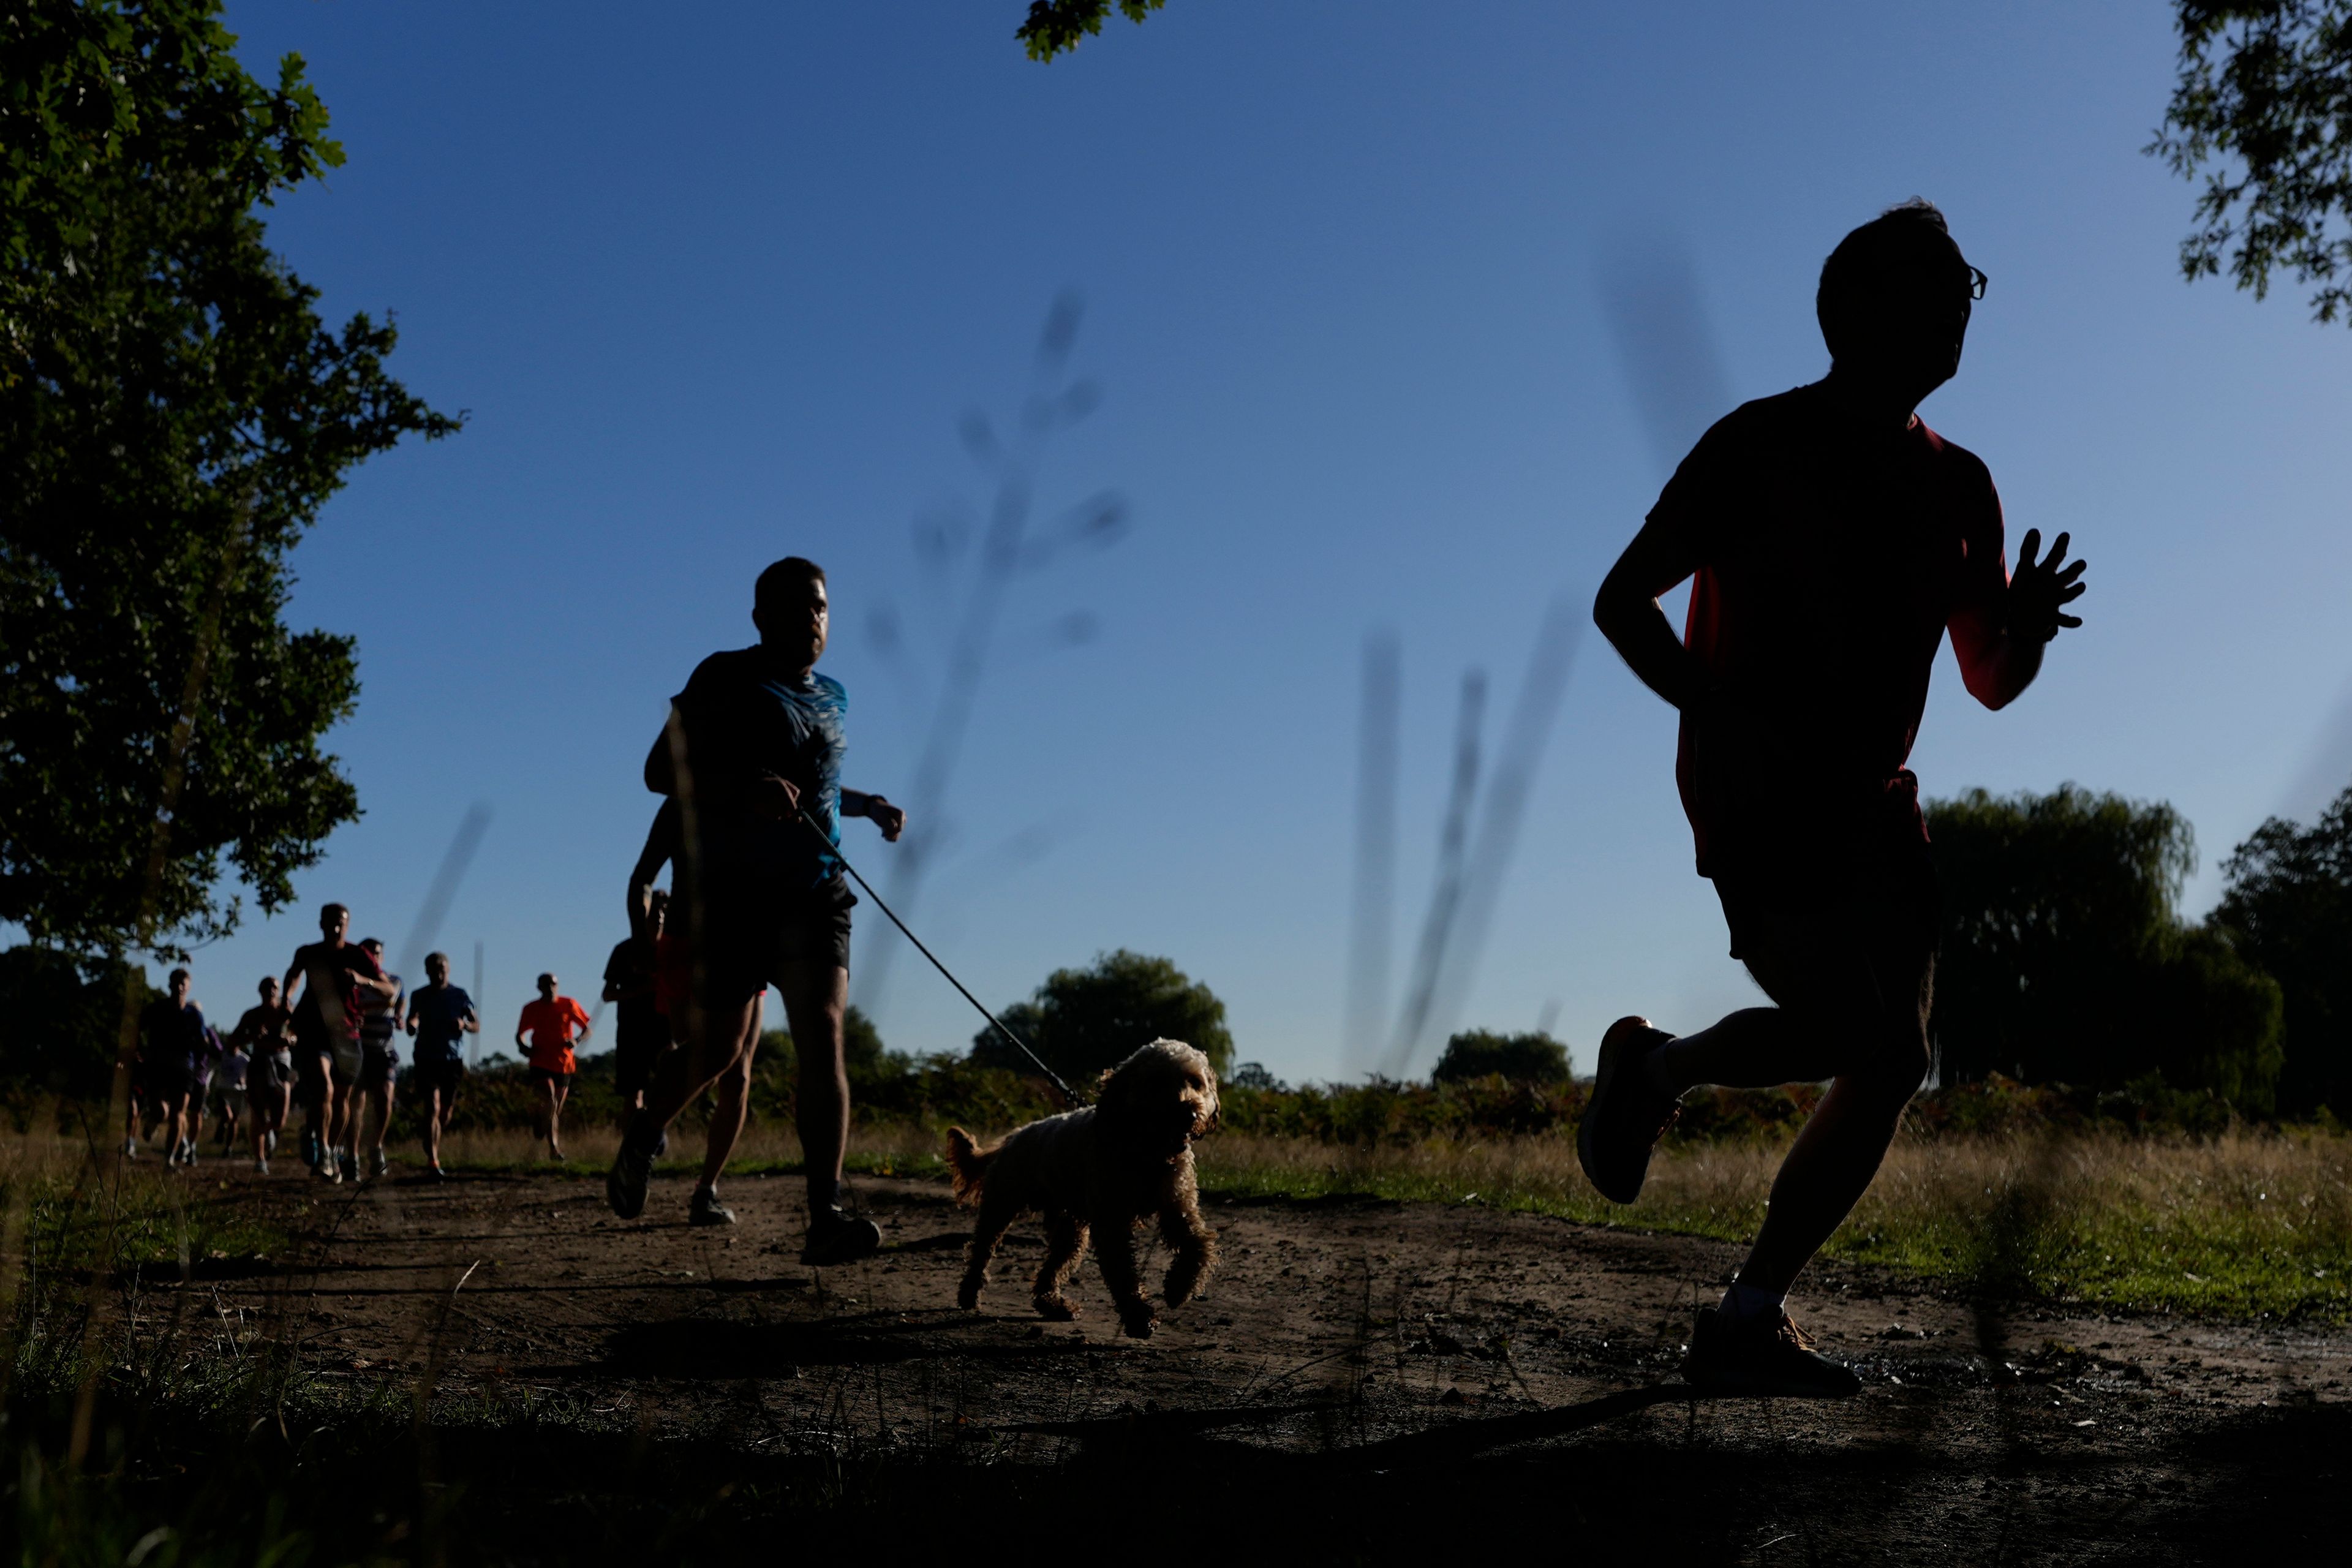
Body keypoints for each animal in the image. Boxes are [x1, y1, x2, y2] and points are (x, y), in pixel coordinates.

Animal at [945, 1034, 1223, 1344]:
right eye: (1157, 1082)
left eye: (1196, 1082)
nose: (1190, 1113)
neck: (1146, 1151)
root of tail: (1013, 1137)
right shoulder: (1112, 1223)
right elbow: (1124, 1275)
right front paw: (1139, 1318)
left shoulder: (1177, 1207)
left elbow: (1198, 1245)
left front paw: (1179, 1288)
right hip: (1001, 1205)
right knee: (981, 1249)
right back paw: (969, 1293)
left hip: (1071, 1229)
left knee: (1051, 1269)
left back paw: (1052, 1304)